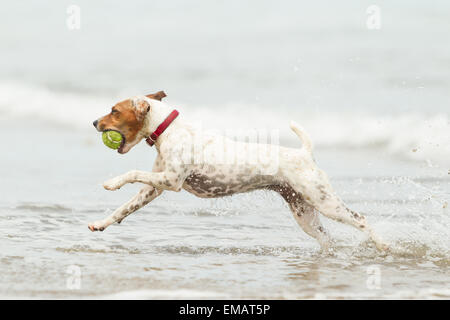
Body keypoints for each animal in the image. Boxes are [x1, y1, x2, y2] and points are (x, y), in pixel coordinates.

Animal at [89, 92, 388, 252]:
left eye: (114, 111)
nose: (93, 122)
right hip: (304, 213)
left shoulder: (171, 181)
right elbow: (124, 209)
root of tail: (305, 153)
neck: (169, 130)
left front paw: (112, 182)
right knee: (326, 238)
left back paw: (383, 246)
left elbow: (131, 172)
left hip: (324, 201)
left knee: (361, 219)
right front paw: (101, 223)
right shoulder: (154, 189)